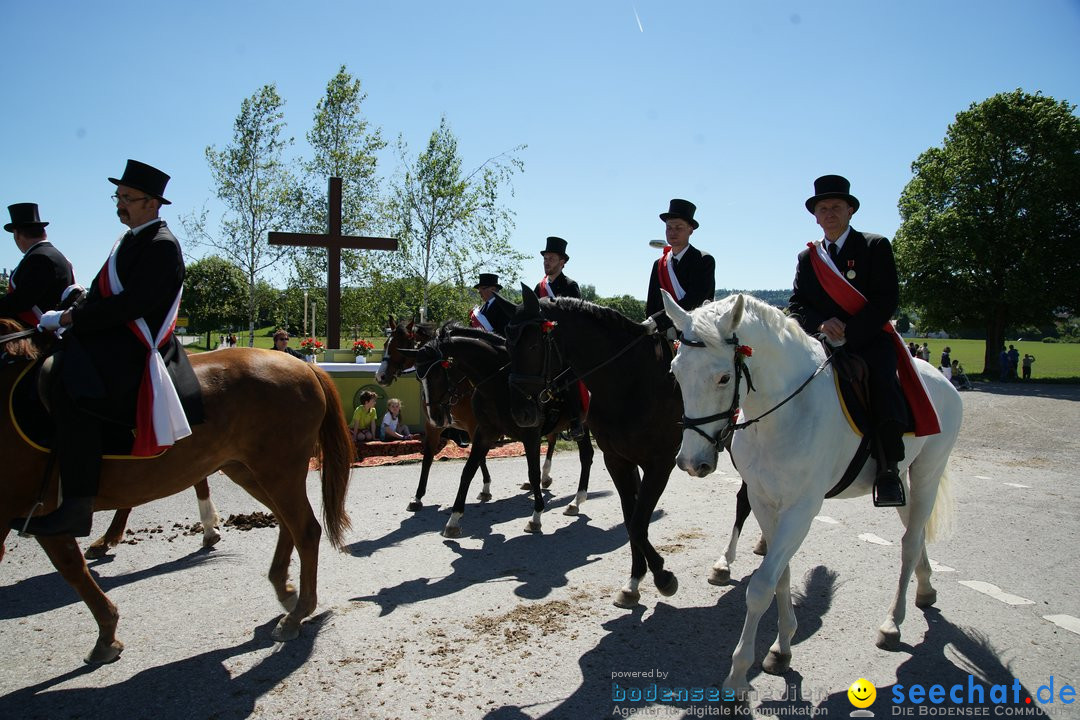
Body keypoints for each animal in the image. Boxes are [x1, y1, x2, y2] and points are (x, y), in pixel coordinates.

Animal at [0, 321, 352, 664]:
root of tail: (305, 366)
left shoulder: (30, 509)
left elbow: (72, 567)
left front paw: (107, 634)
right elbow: (71, 565)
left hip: (275, 471)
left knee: (305, 529)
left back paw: (297, 611)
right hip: (248, 470)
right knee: (287, 522)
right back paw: (285, 589)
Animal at [660, 291, 967, 699]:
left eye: (724, 377)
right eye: (675, 373)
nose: (691, 462)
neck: (782, 414)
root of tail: (936, 378)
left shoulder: (802, 509)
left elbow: (761, 587)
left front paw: (738, 674)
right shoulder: (764, 502)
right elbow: (781, 576)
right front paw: (781, 648)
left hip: (927, 474)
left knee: (908, 544)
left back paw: (892, 623)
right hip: (904, 479)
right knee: (915, 537)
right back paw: (926, 587)